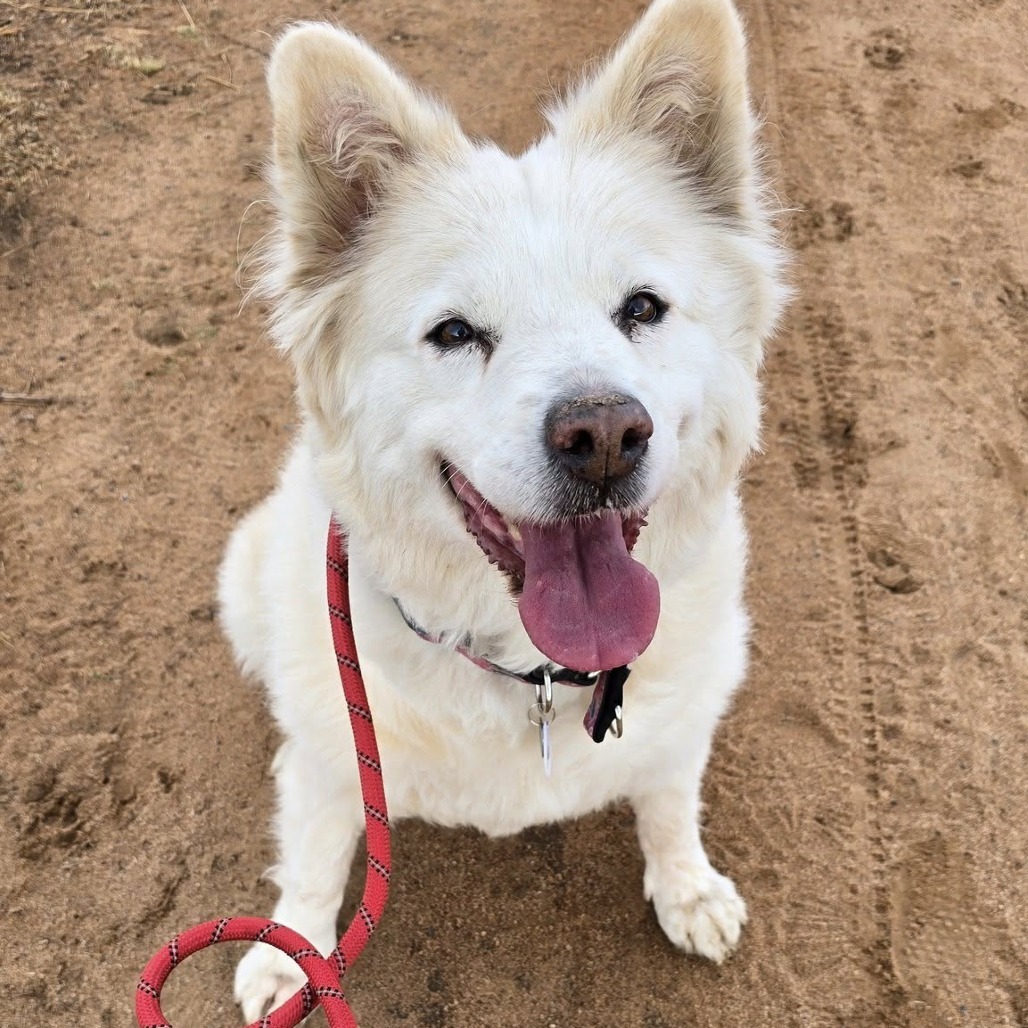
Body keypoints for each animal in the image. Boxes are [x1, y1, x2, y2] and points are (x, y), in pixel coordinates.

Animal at [221, 0, 785, 1011]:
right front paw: (289, 960)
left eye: (643, 308)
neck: (538, 675)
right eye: (454, 333)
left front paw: (688, 889)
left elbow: (670, 805)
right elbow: (315, 865)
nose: (605, 433)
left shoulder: (684, 728)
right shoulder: (330, 763)